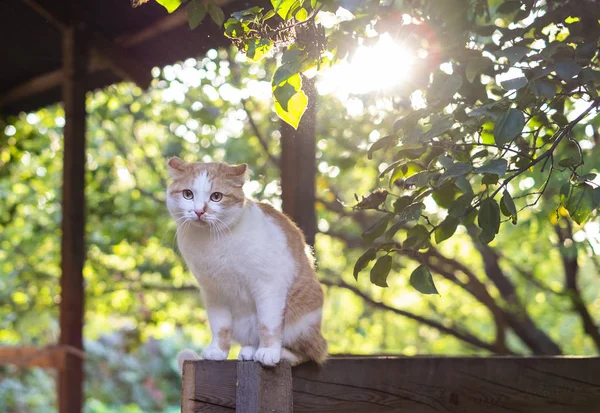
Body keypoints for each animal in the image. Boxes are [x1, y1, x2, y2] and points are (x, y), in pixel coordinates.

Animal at [166, 157, 328, 366]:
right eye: (188, 194)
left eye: (216, 196)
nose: (199, 211)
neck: (212, 241)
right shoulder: (213, 291)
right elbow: (220, 326)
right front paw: (217, 351)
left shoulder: (269, 285)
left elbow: (268, 325)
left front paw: (268, 352)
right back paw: (250, 350)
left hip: (300, 323)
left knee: (310, 353)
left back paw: (280, 353)